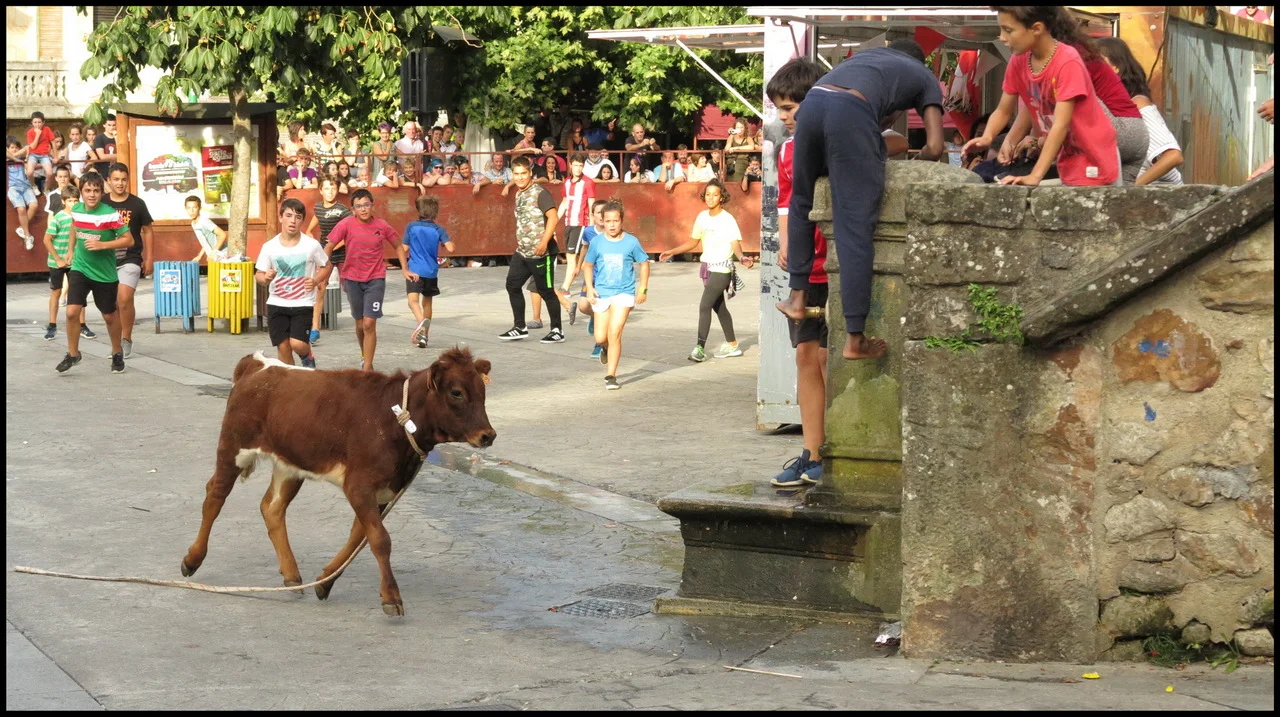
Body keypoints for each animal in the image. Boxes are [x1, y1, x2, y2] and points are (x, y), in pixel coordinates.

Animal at [180, 346, 496, 616]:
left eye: (482, 392)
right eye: (456, 392)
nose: (488, 435)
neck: (393, 420)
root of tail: (258, 364)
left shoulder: (384, 491)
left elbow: (360, 537)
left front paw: (325, 582)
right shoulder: (359, 485)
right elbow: (379, 539)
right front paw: (391, 597)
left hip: (290, 464)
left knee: (272, 507)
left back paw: (292, 575)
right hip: (233, 447)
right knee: (215, 495)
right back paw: (192, 559)